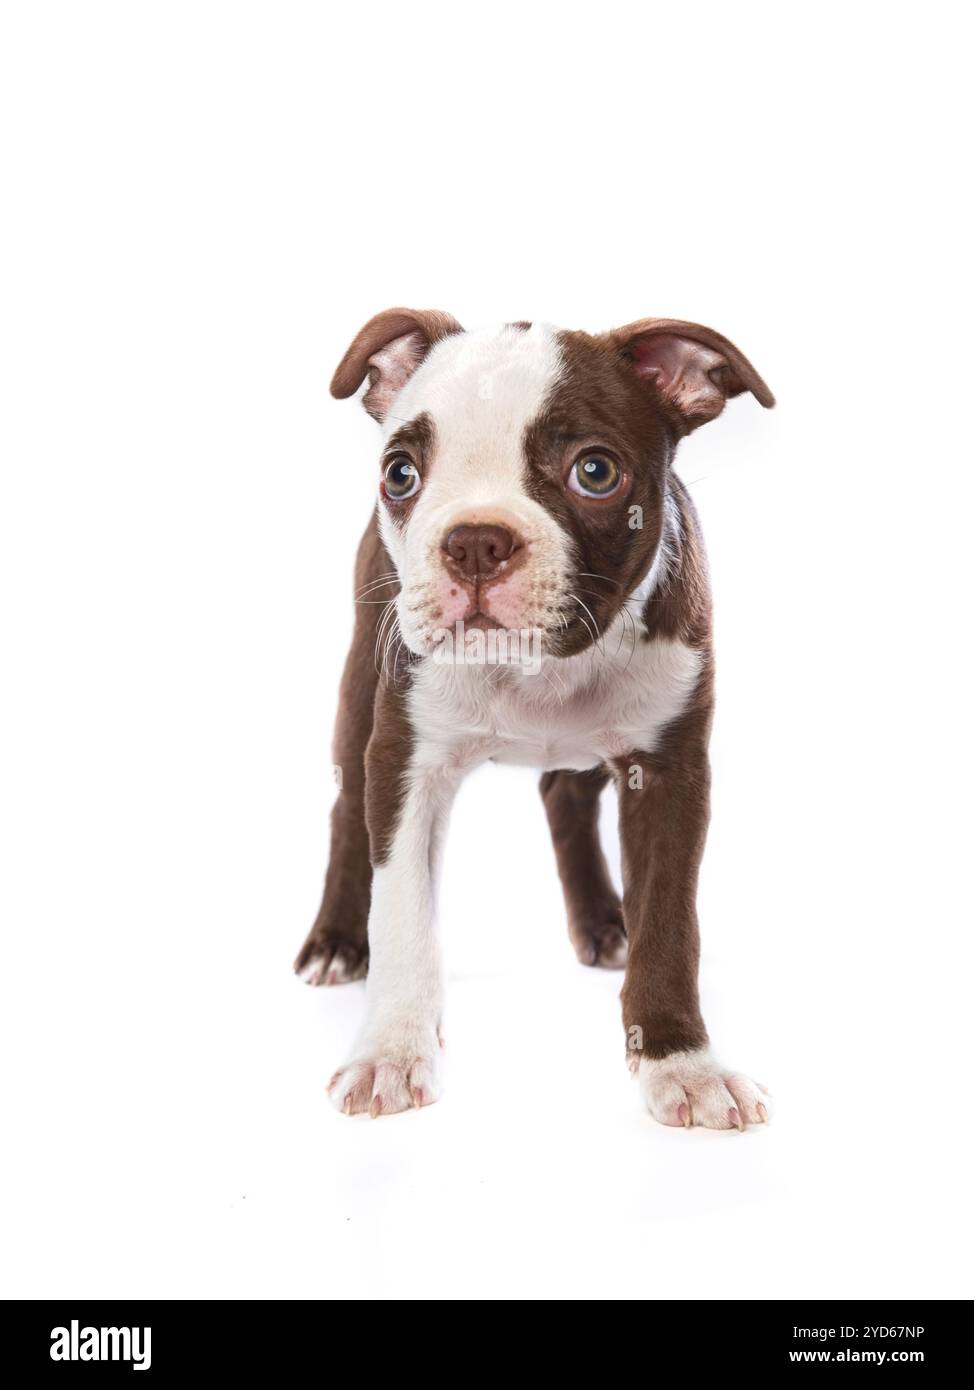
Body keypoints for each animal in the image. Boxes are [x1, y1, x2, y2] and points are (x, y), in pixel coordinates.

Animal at [295, 307, 772, 1128]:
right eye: (401, 474)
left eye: (595, 472)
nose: (475, 540)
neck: (538, 671)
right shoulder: (405, 760)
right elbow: (404, 915)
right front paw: (391, 1052)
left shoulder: (670, 772)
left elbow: (671, 925)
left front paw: (683, 1064)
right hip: (361, 683)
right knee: (347, 809)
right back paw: (334, 941)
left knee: (565, 793)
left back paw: (606, 925)